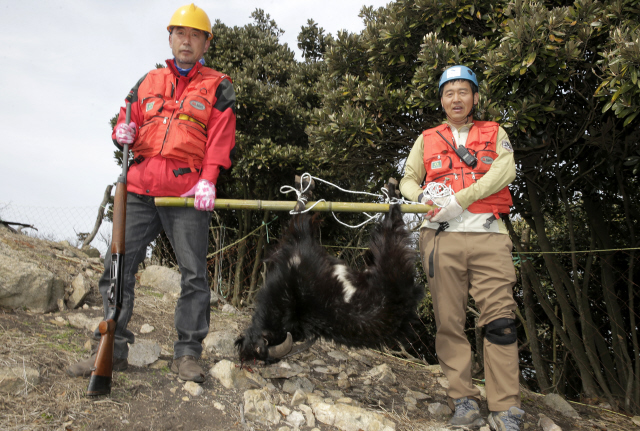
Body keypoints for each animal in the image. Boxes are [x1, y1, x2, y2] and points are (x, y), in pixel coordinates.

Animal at [235, 206, 424, 364]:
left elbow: (300, 218)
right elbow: (300, 220)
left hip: (390, 257)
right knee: (390, 232)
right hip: (390, 257)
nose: (242, 357)